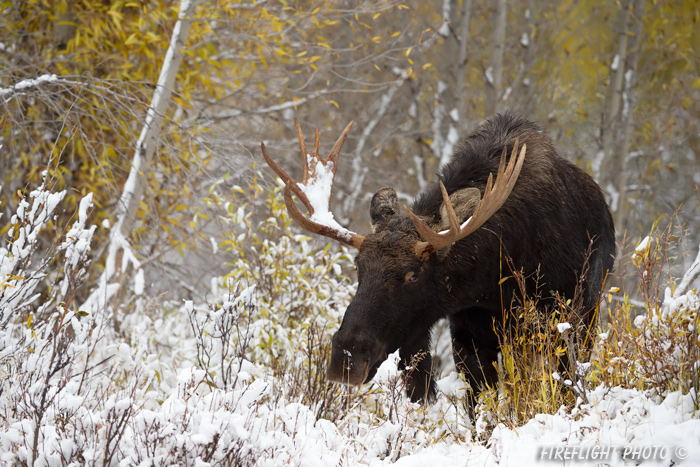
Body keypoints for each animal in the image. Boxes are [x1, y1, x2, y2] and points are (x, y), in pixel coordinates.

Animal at [262, 113, 612, 402]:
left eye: (413, 275)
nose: (346, 357)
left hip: (587, 315)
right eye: (358, 267)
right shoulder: (466, 331)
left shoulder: (555, 322)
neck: (490, 280)